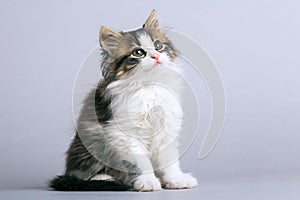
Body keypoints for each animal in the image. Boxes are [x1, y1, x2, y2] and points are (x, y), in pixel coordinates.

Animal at [49, 10, 197, 191]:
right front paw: (148, 181)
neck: (149, 86)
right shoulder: (124, 134)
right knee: (82, 174)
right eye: (138, 53)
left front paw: (176, 179)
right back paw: (105, 178)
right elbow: (141, 162)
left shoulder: (166, 128)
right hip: (94, 140)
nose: (155, 56)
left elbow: (169, 160)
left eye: (158, 46)